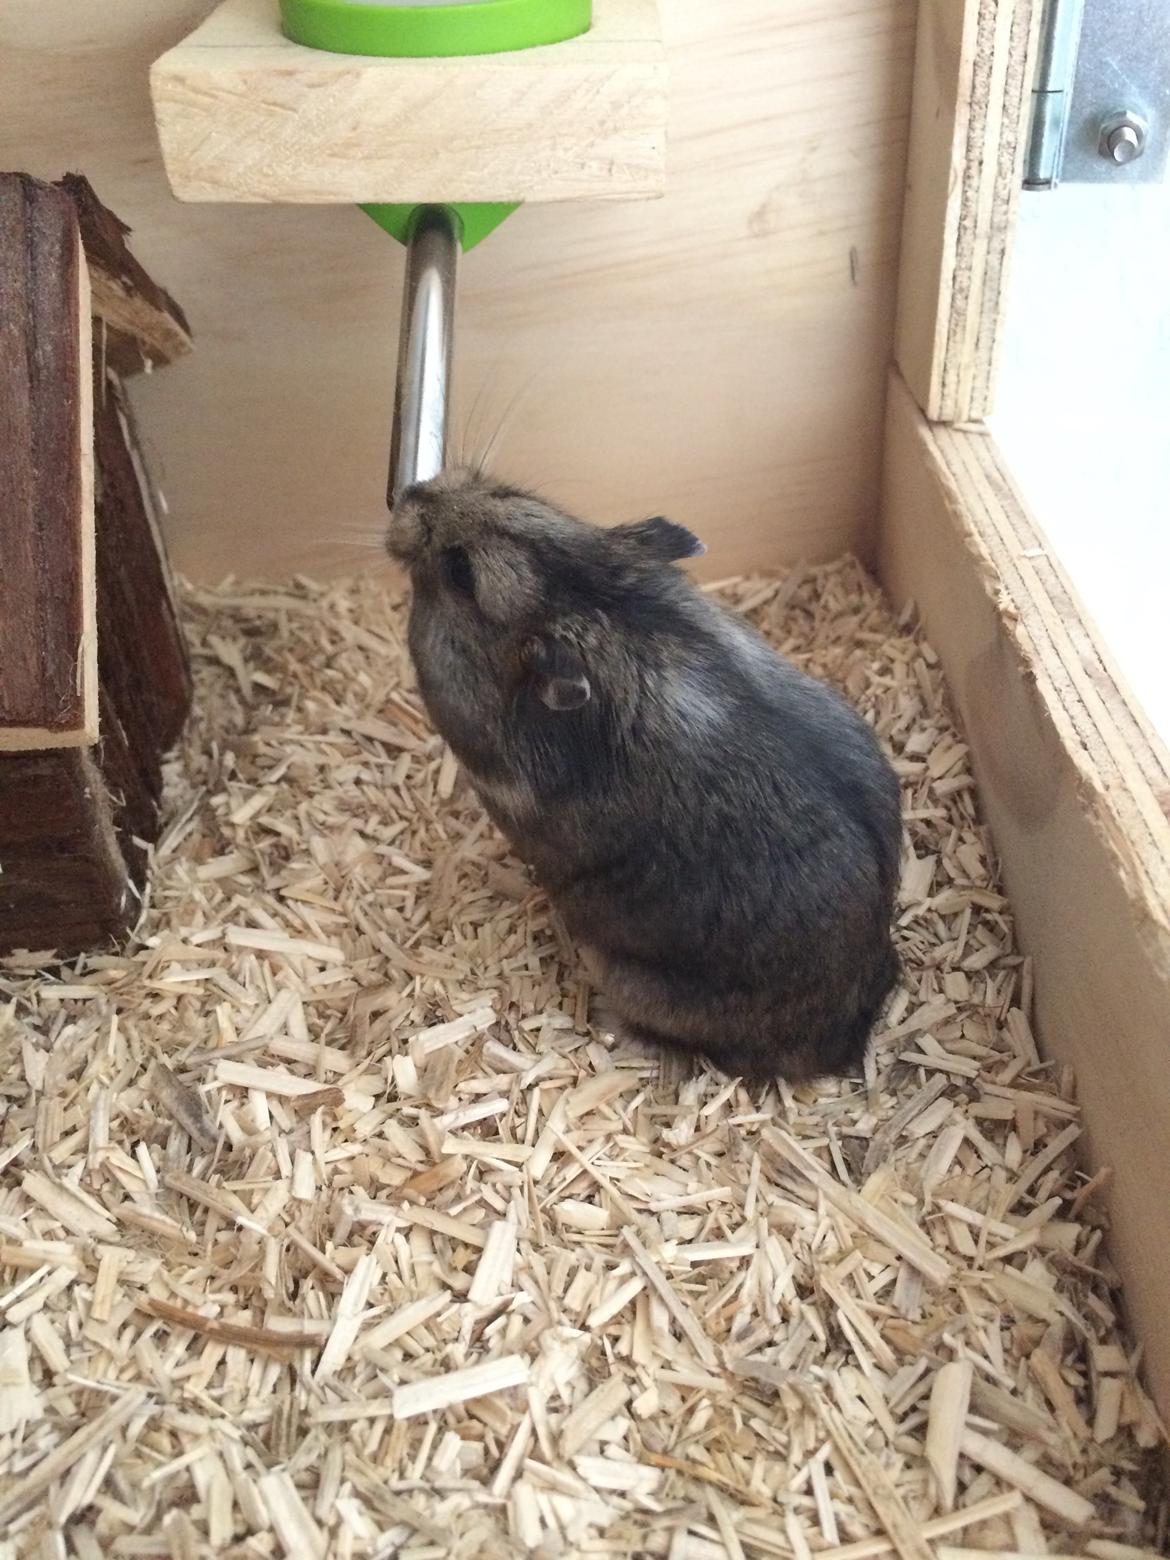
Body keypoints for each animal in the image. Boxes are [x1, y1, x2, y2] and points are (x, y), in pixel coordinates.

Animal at [386, 470, 902, 1083]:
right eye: (507, 495)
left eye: (461, 572)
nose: (408, 494)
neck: (584, 596)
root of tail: (845, 1042)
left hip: (636, 981)